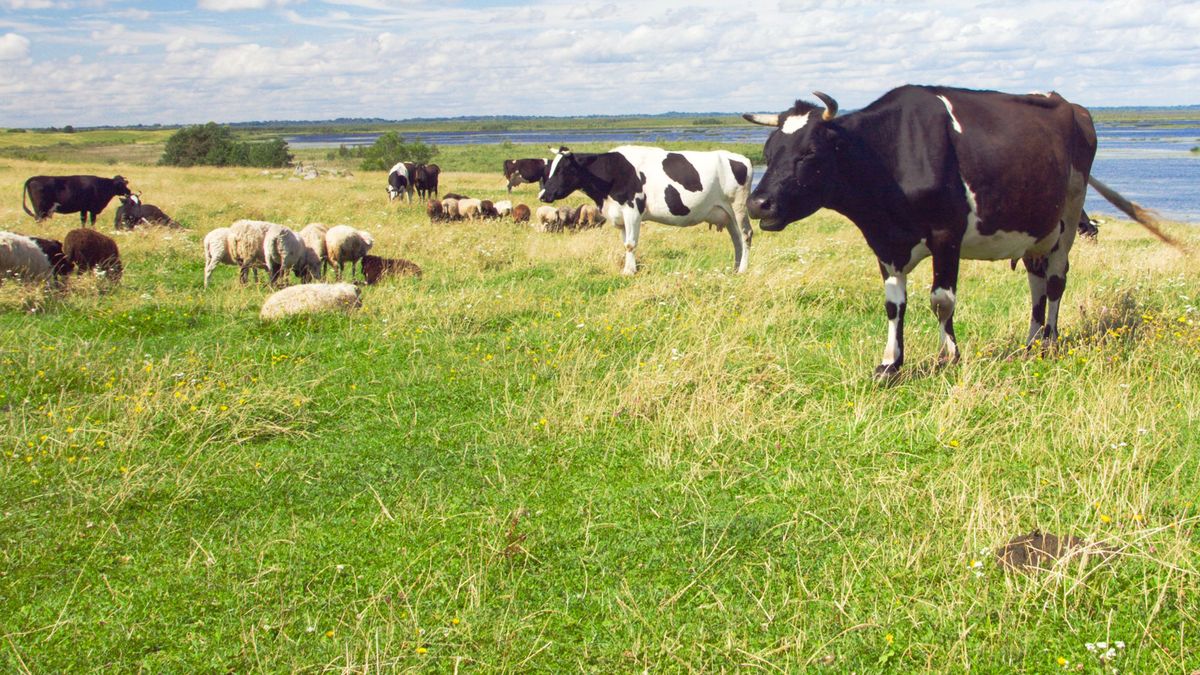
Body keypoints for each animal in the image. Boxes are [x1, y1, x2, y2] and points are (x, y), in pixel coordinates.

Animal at [542, 145, 753, 273]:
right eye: (551, 168)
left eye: (562, 169)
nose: (543, 195)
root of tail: (741, 158)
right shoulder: (620, 215)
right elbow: (625, 243)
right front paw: (629, 268)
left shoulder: (633, 210)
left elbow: (630, 244)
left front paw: (629, 271)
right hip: (727, 214)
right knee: (736, 239)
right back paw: (735, 269)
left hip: (738, 208)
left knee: (746, 235)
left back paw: (742, 270)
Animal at [744, 85, 1166, 379]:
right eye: (768, 151)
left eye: (809, 152)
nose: (758, 203)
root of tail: (1069, 105)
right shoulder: (885, 242)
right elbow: (894, 305)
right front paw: (890, 364)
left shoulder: (947, 233)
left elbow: (942, 300)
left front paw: (948, 356)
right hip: (1035, 230)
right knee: (1036, 282)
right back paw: (1030, 342)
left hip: (1069, 216)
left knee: (1057, 281)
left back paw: (1049, 341)